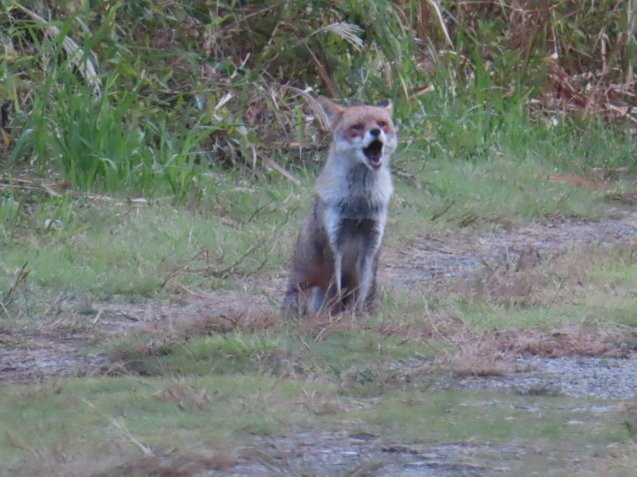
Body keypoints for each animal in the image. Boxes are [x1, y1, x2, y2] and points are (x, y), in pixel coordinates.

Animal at [280, 96, 396, 316]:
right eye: (357, 126)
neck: (359, 204)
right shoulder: (333, 241)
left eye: (382, 124)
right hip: (314, 292)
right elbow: (334, 289)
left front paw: (362, 317)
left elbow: (366, 290)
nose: (375, 132)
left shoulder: (372, 240)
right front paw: (334, 318)